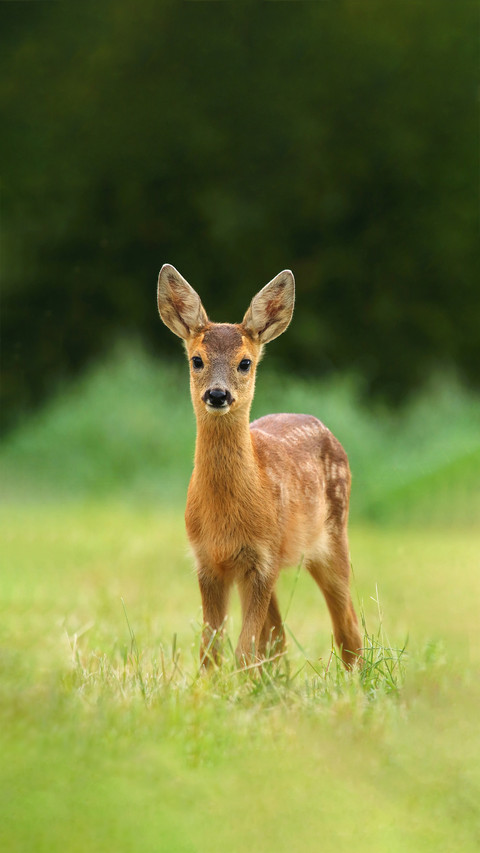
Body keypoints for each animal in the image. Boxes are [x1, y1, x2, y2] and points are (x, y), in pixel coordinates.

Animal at [157, 264, 363, 669]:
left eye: (245, 363)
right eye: (197, 360)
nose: (217, 394)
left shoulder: (263, 559)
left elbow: (244, 649)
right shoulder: (208, 562)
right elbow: (211, 649)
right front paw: (210, 684)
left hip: (332, 537)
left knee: (347, 626)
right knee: (280, 637)